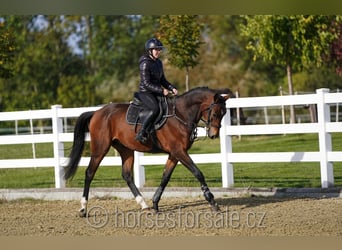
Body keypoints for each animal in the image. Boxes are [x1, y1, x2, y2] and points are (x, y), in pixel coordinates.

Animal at [63, 87, 234, 216]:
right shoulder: (179, 152)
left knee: (127, 175)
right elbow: (198, 173)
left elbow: (165, 178)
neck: (180, 114)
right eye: (215, 113)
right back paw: (83, 209)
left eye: (224, 113)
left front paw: (155, 204)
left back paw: (144, 205)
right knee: (89, 173)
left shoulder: (174, 154)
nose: (213, 135)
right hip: (100, 148)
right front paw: (212, 202)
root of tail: (97, 112)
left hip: (126, 150)